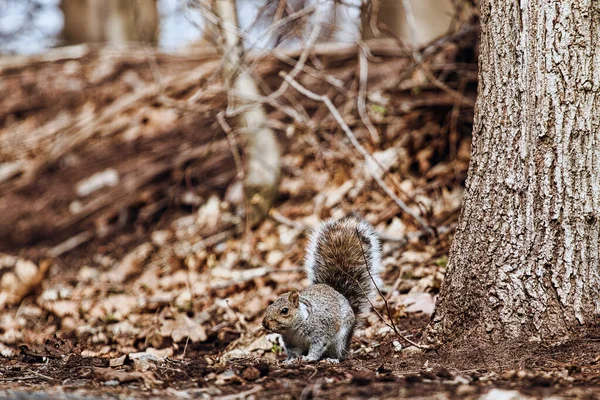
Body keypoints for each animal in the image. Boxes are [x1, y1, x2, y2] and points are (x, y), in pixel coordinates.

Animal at [262, 217, 382, 364]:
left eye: (284, 311)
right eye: (269, 306)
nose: (264, 323)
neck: (294, 329)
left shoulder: (320, 332)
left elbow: (317, 347)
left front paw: (309, 358)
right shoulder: (291, 343)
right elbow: (293, 352)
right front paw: (290, 361)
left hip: (340, 340)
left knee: (339, 354)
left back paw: (332, 359)